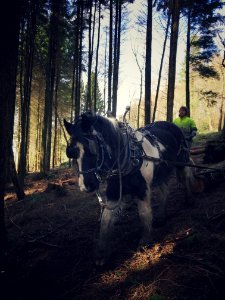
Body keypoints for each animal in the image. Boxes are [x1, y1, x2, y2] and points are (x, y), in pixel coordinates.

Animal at [63, 111, 197, 266]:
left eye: (91, 150)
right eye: (71, 153)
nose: (86, 187)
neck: (127, 158)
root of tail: (172, 124)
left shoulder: (142, 189)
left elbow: (144, 213)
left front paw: (145, 240)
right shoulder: (114, 193)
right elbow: (105, 220)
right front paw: (101, 253)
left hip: (182, 161)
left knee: (186, 176)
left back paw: (189, 199)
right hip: (160, 172)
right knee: (164, 191)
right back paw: (161, 217)